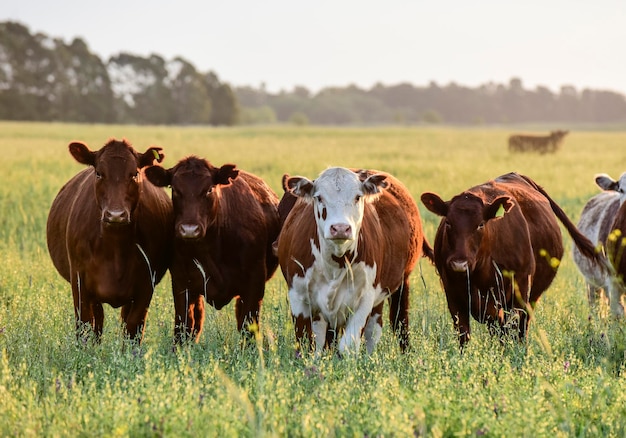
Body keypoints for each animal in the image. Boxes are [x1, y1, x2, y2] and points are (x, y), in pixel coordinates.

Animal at [45, 139, 173, 344]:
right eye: (99, 173)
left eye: (134, 173)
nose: (115, 214)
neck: (115, 247)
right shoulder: (79, 282)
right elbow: (84, 326)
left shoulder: (145, 286)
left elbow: (133, 329)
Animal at [144, 156, 280, 344]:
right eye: (175, 189)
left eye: (209, 189)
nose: (189, 229)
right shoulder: (181, 282)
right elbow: (183, 327)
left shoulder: (255, 281)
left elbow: (249, 327)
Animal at [276, 168, 428, 356]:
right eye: (319, 197)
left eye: (358, 197)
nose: (340, 228)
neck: (334, 264)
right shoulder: (298, 295)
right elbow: (307, 345)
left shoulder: (365, 298)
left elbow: (347, 346)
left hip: (401, 283)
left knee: (393, 323)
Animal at [420, 173, 604, 348]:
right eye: (448, 223)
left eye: (480, 224)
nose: (459, 264)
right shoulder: (453, 295)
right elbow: (464, 335)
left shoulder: (518, 290)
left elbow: (509, 330)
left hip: (530, 297)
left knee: (521, 328)